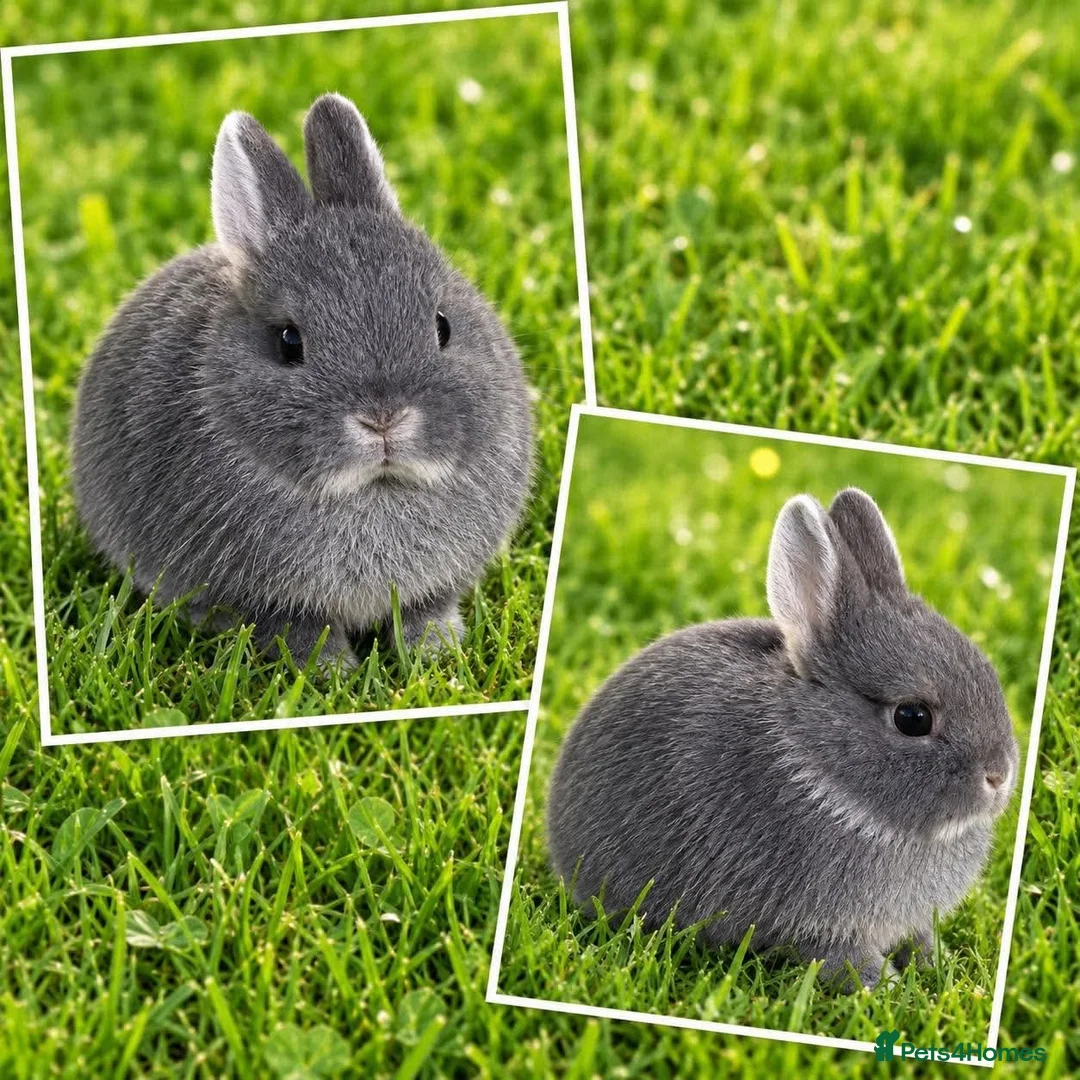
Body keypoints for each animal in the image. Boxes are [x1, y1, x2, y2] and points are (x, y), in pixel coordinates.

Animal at [69, 93, 533, 667]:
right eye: (290, 342)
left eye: (442, 325)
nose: (384, 420)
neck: (374, 489)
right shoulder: (269, 603)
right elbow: (299, 630)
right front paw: (333, 671)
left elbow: (426, 610)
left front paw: (435, 654)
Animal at [547, 487, 1019, 989]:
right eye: (912, 718)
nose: (999, 777)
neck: (824, 776)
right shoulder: (823, 929)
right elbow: (842, 957)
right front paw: (886, 987)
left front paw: (937, 965)